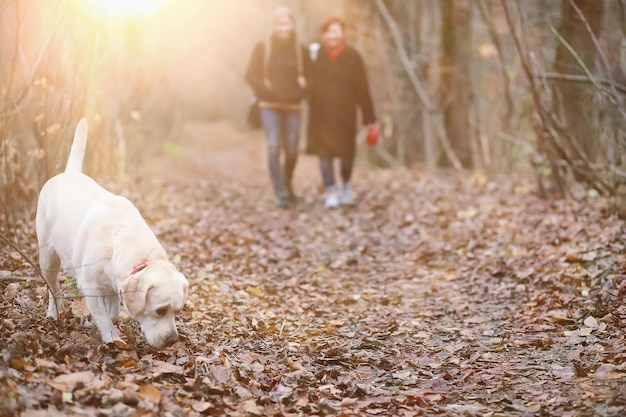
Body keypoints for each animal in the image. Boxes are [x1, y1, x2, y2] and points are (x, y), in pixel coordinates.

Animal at [36, 119, 188, 348]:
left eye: (177, 311)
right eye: (160, 311)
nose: (172, 341)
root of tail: (69, 173)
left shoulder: (115, 285)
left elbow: (113, 313)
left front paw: (94, 324)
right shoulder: (90, 286)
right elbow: (104, 317)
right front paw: (112, 338)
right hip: (48, 258)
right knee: (54, 288)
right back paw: (54, 312)